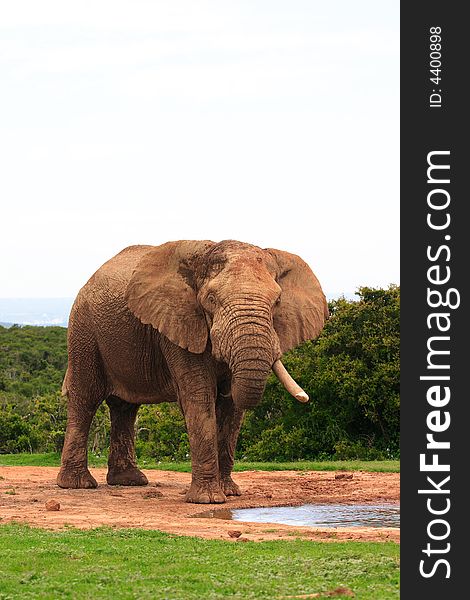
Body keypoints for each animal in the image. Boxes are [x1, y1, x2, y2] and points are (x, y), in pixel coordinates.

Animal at [57, 239, 328, 502]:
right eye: (211, 299)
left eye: (277, 302)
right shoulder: (179, 323)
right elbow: (199, 396)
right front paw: (208, 499)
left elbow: (231, 408)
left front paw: (230, 492)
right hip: (83, 330)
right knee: (86, 398)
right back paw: (77, 485)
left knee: (125, 407)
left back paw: (129, 481)